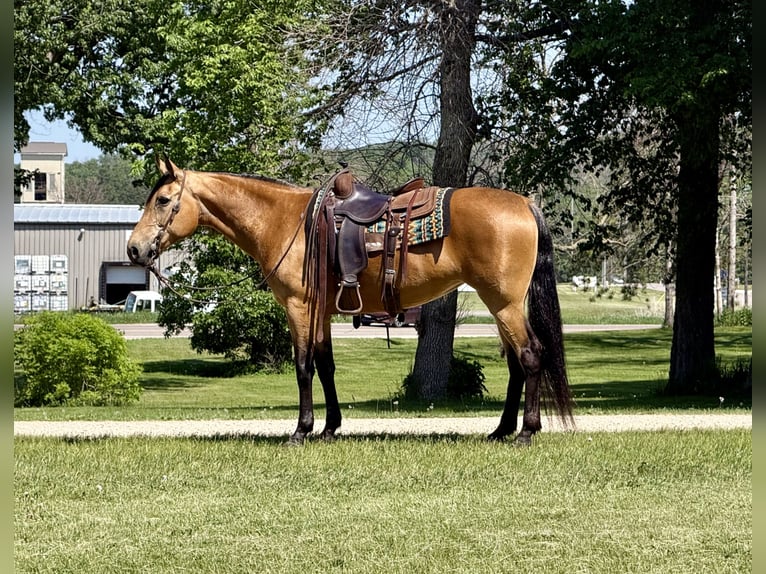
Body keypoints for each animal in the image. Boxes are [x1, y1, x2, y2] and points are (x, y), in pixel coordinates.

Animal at [127, 157, 574, 445]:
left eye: (162, 201)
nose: (134, 249)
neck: (286, 222)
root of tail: (524, 203)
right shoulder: (321, 312)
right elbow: (326, 366)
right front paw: (329, 427)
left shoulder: (299, 307)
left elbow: (304, 367)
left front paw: (301, 430)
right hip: (499, 305)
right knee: (517, 364)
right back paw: (501, 430)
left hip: (504, 303)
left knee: (531, 355)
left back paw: (526, 432)